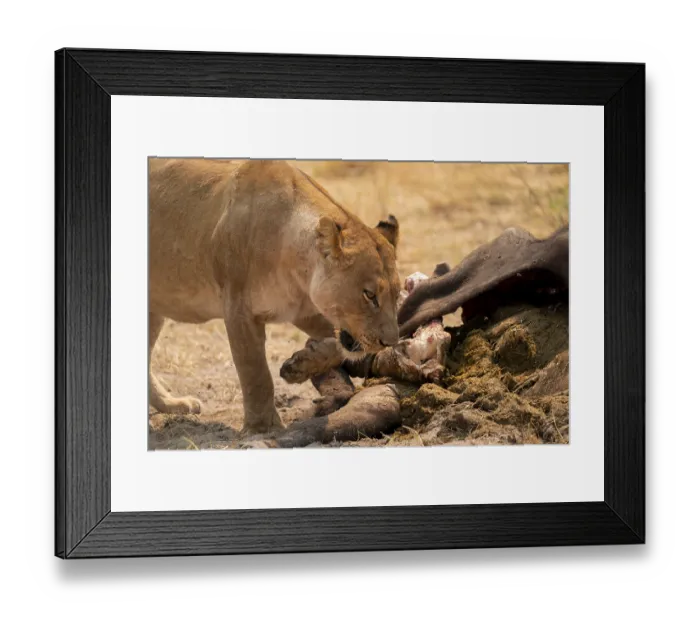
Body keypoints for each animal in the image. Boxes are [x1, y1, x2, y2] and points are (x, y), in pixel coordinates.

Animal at [148, 158, 401, 434]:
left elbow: (337, 349)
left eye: (397, 294)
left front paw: (300, 365)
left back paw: (172, 404)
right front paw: (262, 427)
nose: (390, 342)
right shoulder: (238, 310)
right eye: (369, 295)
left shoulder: (304, 310)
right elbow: (255, 373)